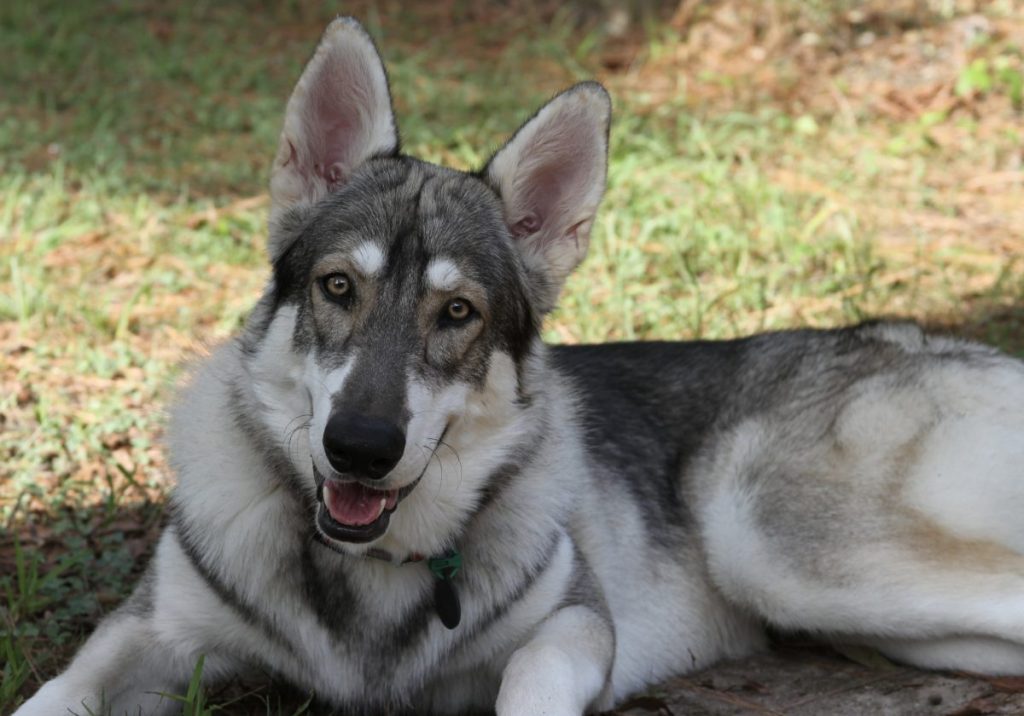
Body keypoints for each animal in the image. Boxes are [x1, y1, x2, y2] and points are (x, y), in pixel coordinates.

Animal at [14, 15, 1024, 716]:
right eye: (338, 287)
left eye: (457, 313)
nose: (360, 448)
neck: (371, 573)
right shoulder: (149, 635)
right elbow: (55, 694)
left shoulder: (573, 627)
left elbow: (528, 686)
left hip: (779, 548)